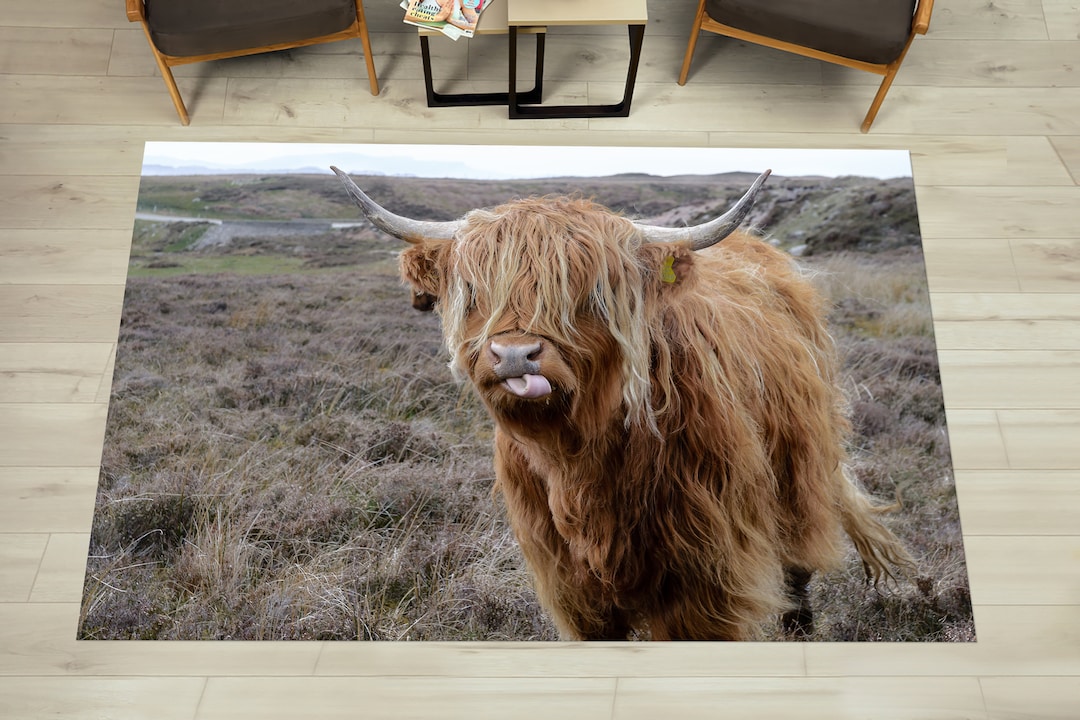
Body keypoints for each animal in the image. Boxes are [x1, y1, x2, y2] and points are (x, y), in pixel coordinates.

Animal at [332, 166, 916, 640]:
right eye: (475, 292)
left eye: (589, 295)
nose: (515, 355)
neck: (580, 461)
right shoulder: (571, 585)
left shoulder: (704, 579)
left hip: (800, 473)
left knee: (797, 574)